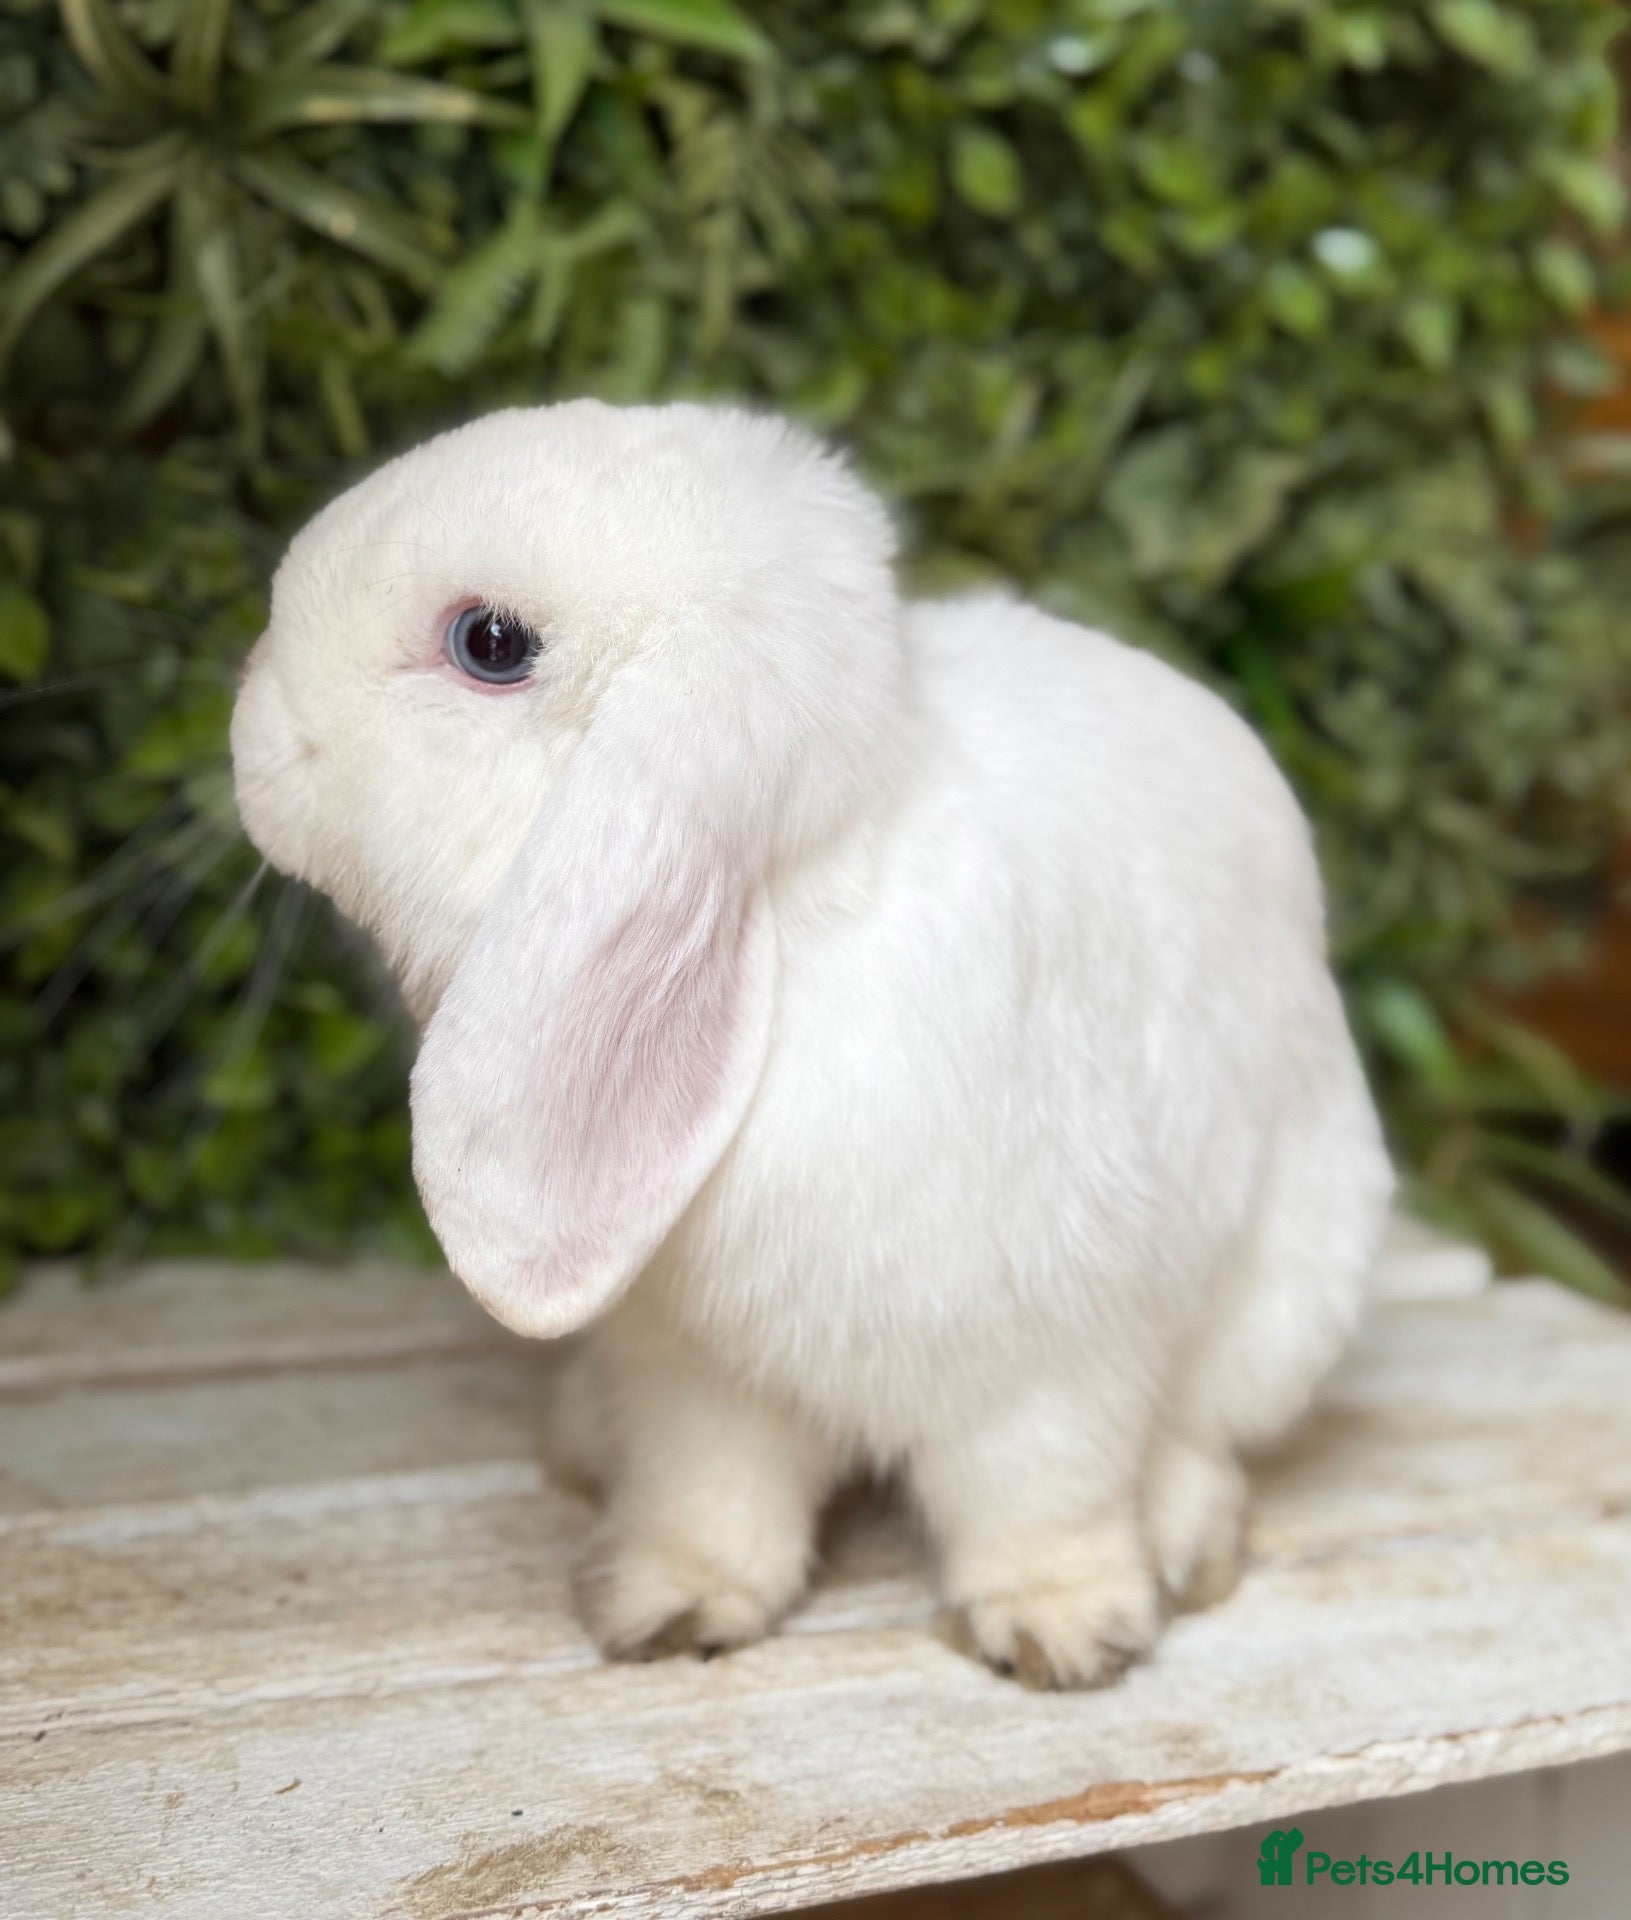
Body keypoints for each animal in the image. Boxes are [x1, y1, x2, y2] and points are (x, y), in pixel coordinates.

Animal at [231, 400, 1393, 1689]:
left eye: (488, 643)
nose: (252, 713)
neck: (793, 927)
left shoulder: (1054, 1347)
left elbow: (1046, 1496)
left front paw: (1062, 1630)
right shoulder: (699, 1371)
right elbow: (712, 1495)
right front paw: (670, 1608)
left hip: (1290, 1289)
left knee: (1201, 1431)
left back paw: (1182, 1535)